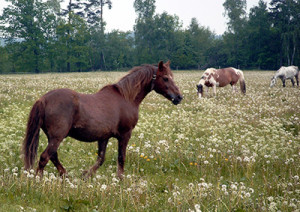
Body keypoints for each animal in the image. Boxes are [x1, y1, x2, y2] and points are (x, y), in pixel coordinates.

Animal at [22, 60, 183, 178]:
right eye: (166, 78)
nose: (179, 97)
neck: (126, 98)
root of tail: (43, 99)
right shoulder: (125, 135)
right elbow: (121, 157)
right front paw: (120, 178)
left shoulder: (103, 137)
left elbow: (101, 159)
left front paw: (86, 175)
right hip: (57, 137)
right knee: (45, 157)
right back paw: (39, 180)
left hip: (53, 137)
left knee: (53, 156)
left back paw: (65, 175)